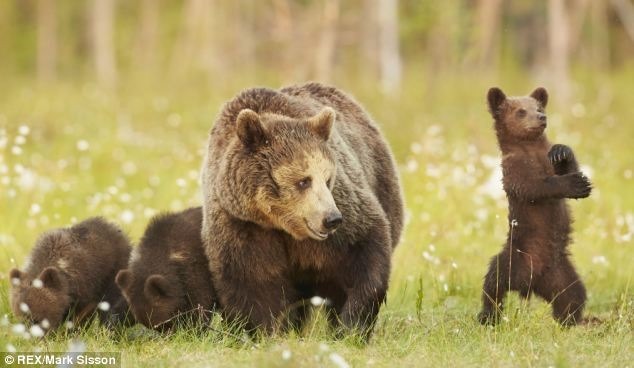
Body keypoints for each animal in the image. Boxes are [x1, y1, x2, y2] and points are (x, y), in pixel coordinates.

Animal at [200, 82, 402, 338]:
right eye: (303, 181)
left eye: (328, 179)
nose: (332, 219)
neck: (280, 224)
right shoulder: (242, 225)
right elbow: (252, 283)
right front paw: (268, 331)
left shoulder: (344, 215)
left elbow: (363, 250)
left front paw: (350, 327)